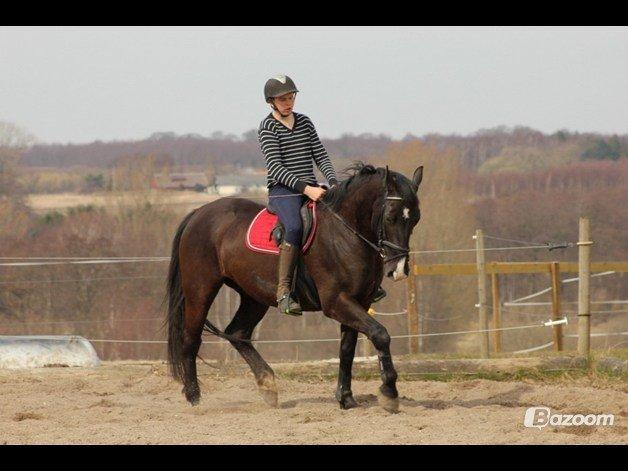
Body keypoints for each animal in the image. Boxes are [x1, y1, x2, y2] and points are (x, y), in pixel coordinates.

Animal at [166, 163, 422, 412]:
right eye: (390, 217)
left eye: (415, 219)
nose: (399, 270)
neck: (346, 233)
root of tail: (200, 212)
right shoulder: (337, 301)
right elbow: (380, 334)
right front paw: (389, 392)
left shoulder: (359, 301)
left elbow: (348, 348)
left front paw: (346, 398)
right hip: (200, 289)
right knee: (191, 338)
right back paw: (194, 397)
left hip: (253, 296)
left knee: (237, 333)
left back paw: (268, 385)